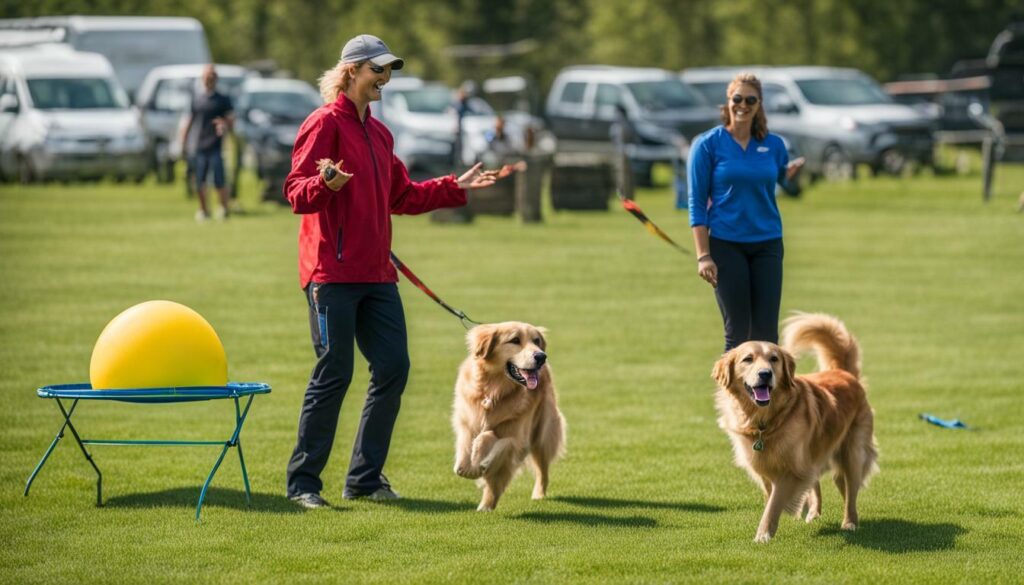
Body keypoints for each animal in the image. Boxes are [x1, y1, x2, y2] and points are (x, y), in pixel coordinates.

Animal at [454, 323, 569, 510]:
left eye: (536, 341)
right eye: (515, 340)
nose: (541, 356)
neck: (494, 391)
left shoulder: (517, 439)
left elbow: (493, 440)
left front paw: (480, 460)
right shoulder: (466, 421)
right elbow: (465, 448)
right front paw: (468, 467)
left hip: (542, 434)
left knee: (542, 469)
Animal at [712, 313, 880, 540]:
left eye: (774, 359)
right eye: (748, 359)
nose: (765, 374)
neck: (766, 421)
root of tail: (843, 372)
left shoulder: (790, 469)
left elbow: (774, 503)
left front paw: (763, 535)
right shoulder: (766, 468)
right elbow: (771, 497)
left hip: (852, 451)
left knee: (850, 490)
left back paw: (849, 522)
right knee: (822, 480)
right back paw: (814, 512)